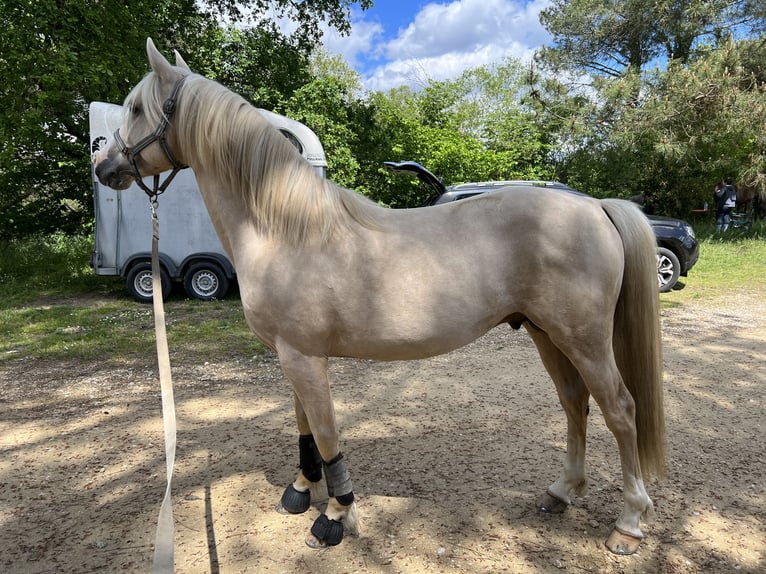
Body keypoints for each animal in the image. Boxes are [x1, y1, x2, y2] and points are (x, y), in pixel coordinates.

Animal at [94, 39, 664, 560]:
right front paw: (301, 490)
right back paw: (562, 492)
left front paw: (335, 515)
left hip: (584, 339)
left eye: (138, 109)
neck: (283, 228)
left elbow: (326, 434)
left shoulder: (304, 357)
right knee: (574, 404)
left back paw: (629, 523)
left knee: (620, 409)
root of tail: (595, 207)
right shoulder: (292, 356)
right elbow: (305, 428)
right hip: (547, 334)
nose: (104, 166)